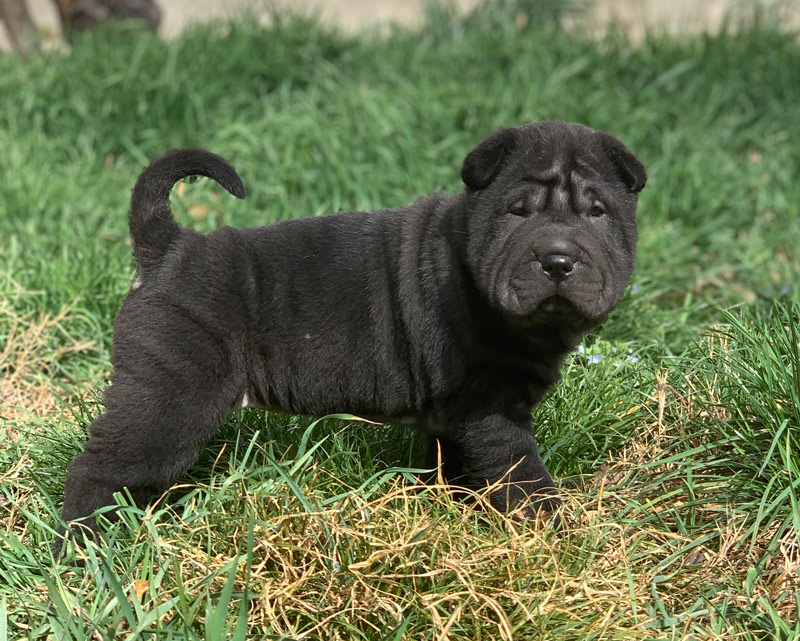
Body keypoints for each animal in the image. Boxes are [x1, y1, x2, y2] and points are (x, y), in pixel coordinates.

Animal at [61, 120, 644, 544]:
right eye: (517, 212)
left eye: (597, 213)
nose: (558, 259)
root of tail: (170, 249)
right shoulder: (492, 408)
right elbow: (523, 477)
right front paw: (555, 538)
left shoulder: (458, 416)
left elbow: (457, 468)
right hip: (172, 393)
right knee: (99, 468)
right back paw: (90, 549)